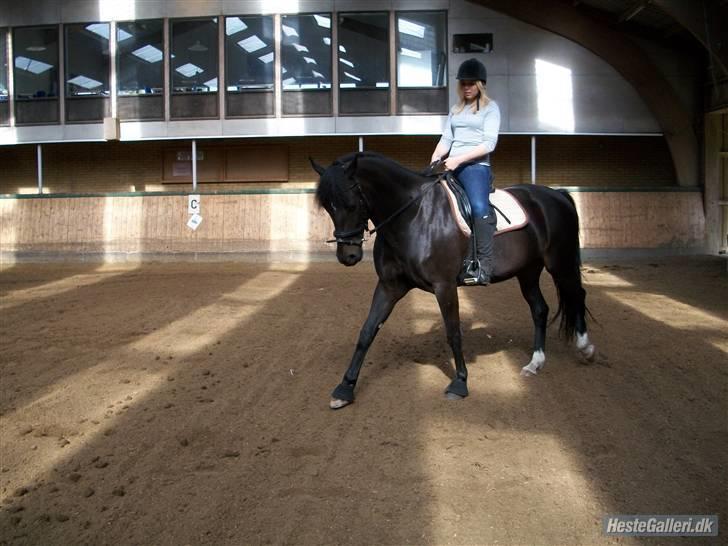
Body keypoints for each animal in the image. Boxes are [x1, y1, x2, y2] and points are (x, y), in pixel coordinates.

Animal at [310, 151, 596, 406]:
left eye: (352, 204)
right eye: (328, 207)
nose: (348, 255)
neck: (413, 215)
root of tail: (556, 194)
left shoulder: (444, 286)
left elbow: (453, 332)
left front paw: (460, 383)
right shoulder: (389, 286)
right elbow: (367, 331)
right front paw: (345, 388)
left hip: (560, 263)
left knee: (577, 294)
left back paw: (586, 348)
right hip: (528, 271)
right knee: (540, 309)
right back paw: (535, 363)